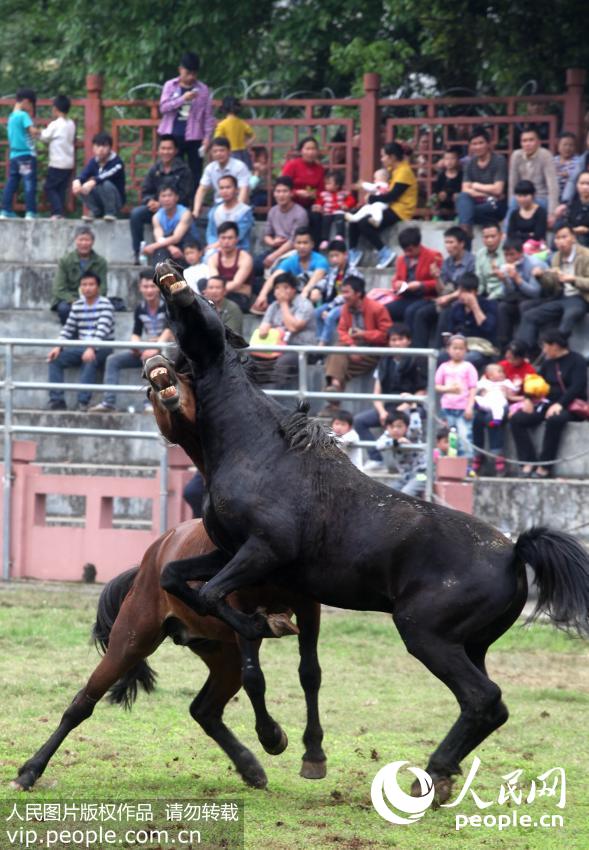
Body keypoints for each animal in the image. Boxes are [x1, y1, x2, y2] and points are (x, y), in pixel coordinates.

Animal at [12, 352, 326, 788]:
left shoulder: (308, 605)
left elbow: (308, 672)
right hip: (132, 638)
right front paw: (272, 735)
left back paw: (249, 766)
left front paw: (305, 751)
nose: (157, 363)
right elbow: (256, 678)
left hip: (218, 651)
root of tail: (153, 554)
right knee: (82, 702)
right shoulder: (242, 604)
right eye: (148, 392)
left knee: (204, 709)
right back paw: (29, 771)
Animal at [148, 260, 588, 800]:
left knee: (484, 699)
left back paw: (431, 775)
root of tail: (514, 552)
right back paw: (441, 775)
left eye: (208, 303)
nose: (169, 270)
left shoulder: (262, 552)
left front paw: (262, 629)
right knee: (489, 706)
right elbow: (175, 576)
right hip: (471, 645)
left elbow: (211, 594)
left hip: (427, 635)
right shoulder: (230, 550)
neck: (257, 448)